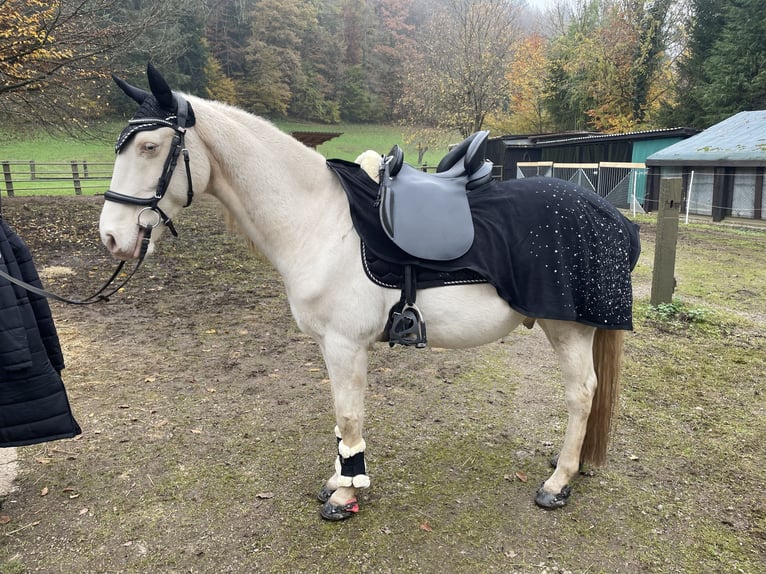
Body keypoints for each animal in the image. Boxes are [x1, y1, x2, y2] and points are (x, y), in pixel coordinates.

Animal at [100, 65, 632, 524]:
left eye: (150, 146)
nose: (111, 237)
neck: (319, 221)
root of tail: (609, 214)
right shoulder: (329, 345)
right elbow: (341, 419)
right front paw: (340, 478)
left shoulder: (345, 344)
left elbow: (349, 416)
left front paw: (345, 495)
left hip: (567, 327)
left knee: (581, 393)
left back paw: (558, 482)